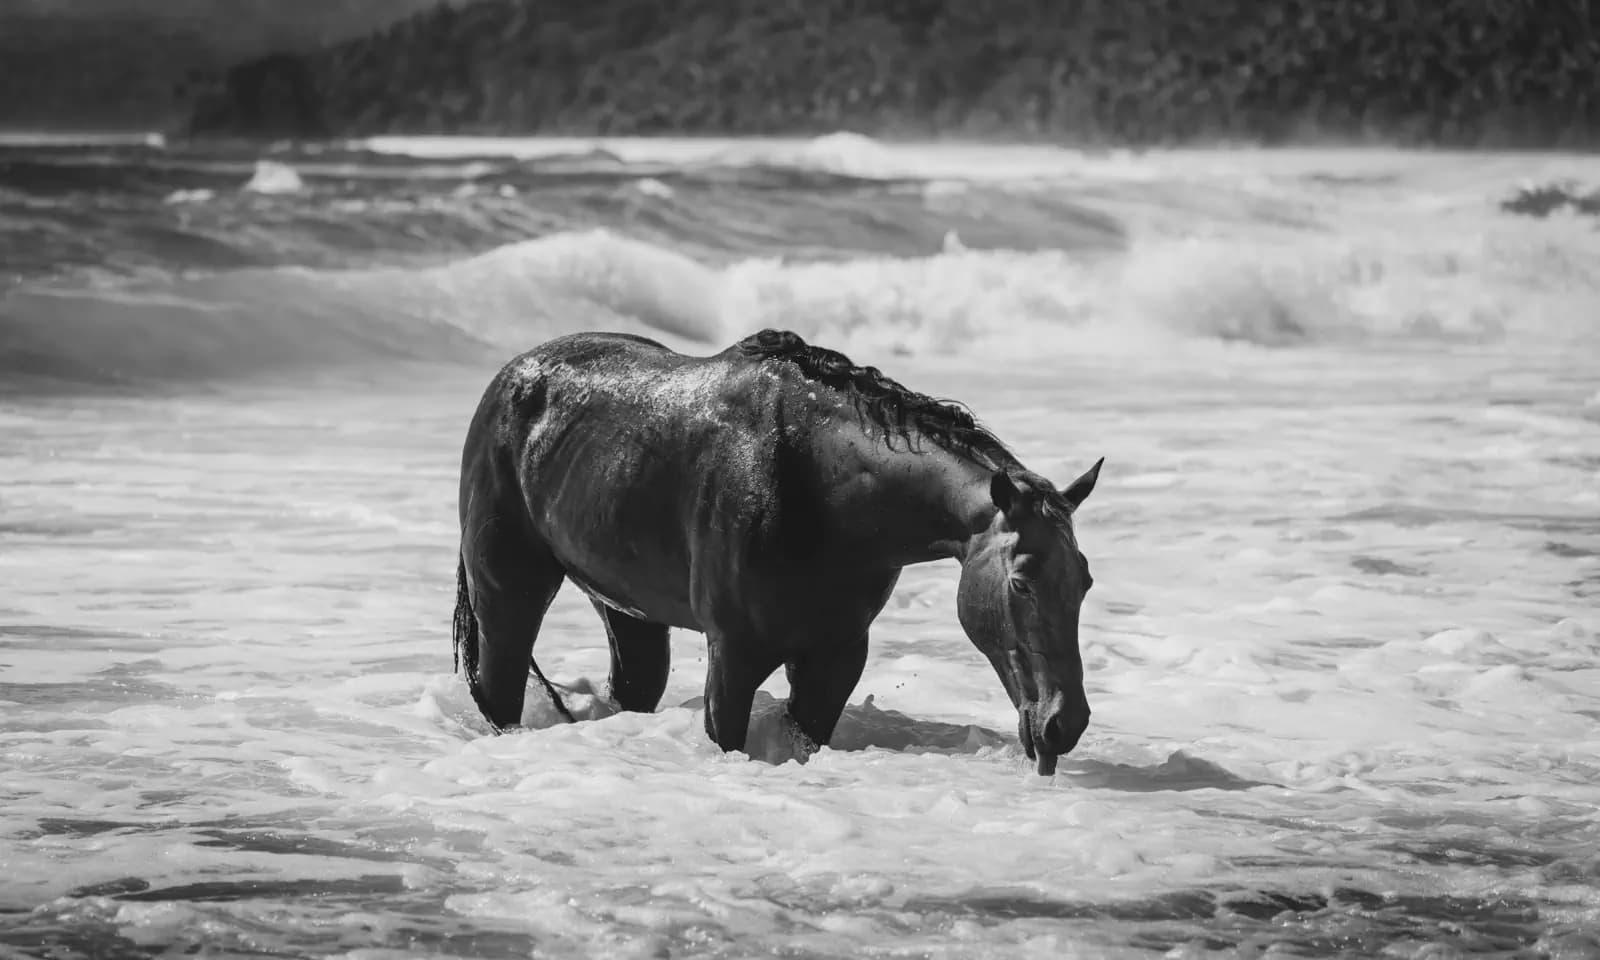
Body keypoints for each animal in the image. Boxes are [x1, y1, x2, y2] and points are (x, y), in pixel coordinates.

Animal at [452, 328, 1102, 775]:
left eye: (1085, 583)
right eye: (1020, 582)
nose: (1063, 724)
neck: (819, 485)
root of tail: (509, 377)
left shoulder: (837, 656)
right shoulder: (734, 654)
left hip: (625, 608)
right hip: (508, 591)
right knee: (501, 680)